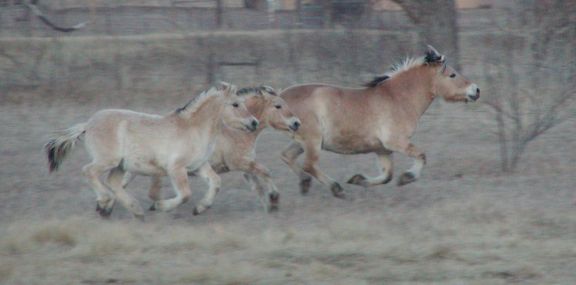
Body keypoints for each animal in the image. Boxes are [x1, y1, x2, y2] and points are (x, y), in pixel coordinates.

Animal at [46, 82, 258, 220]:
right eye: (235, 104)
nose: (254, 122)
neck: (193, 129)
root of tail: (88, 124)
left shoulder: (198, 166)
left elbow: (215, 183)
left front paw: (200, 208)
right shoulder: (176, 169)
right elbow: (185, 194)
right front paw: (159, 206)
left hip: (121, 166)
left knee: (113, 182)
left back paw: (134, 210)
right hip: (107, 160)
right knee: (89, 171)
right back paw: (105, 200)